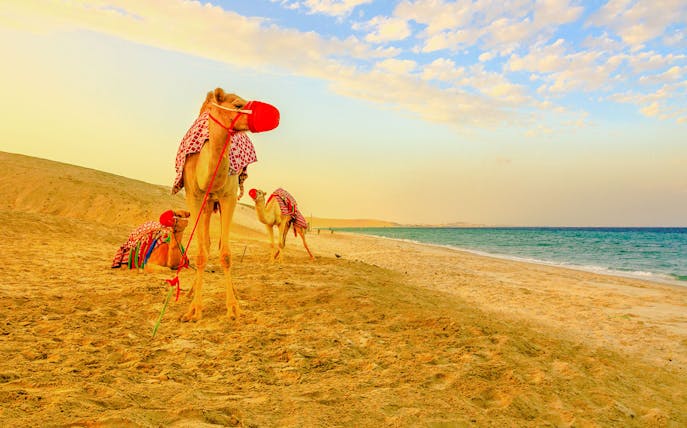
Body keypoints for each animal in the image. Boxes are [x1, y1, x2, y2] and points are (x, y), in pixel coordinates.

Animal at [177, 88, 279, 321]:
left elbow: (225, 254)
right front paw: (194, 310)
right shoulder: (194, 197)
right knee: (205, 243)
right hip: (206, 205)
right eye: (238, 105)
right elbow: (201, 252)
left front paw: (233, 307)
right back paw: (190, 292)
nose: (274, 115)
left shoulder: (229, 197)